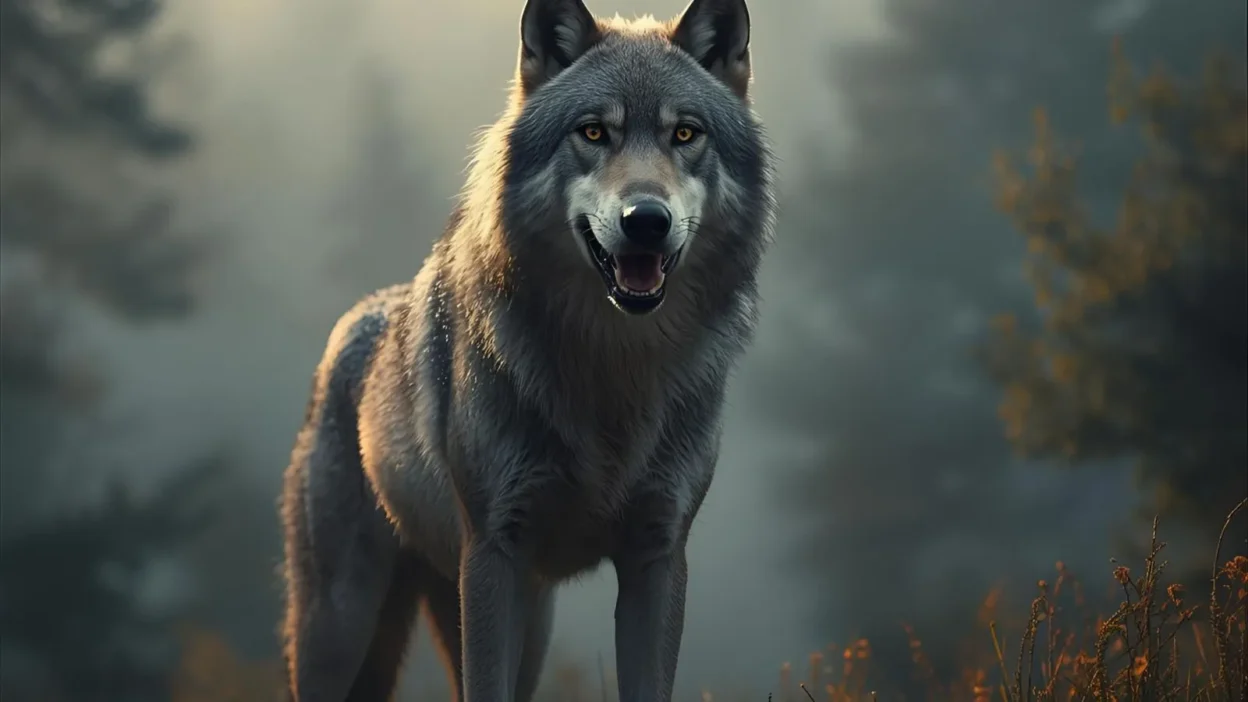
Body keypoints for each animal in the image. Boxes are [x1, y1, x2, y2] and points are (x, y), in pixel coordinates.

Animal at [278, 0, 774, 700]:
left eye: (685, 134)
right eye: (593, 133)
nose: (646, 220)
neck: (612, 369)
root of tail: (356, 320)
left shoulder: (657, 555)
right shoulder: (494, 553)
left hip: (520, 621)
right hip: (344, 624)